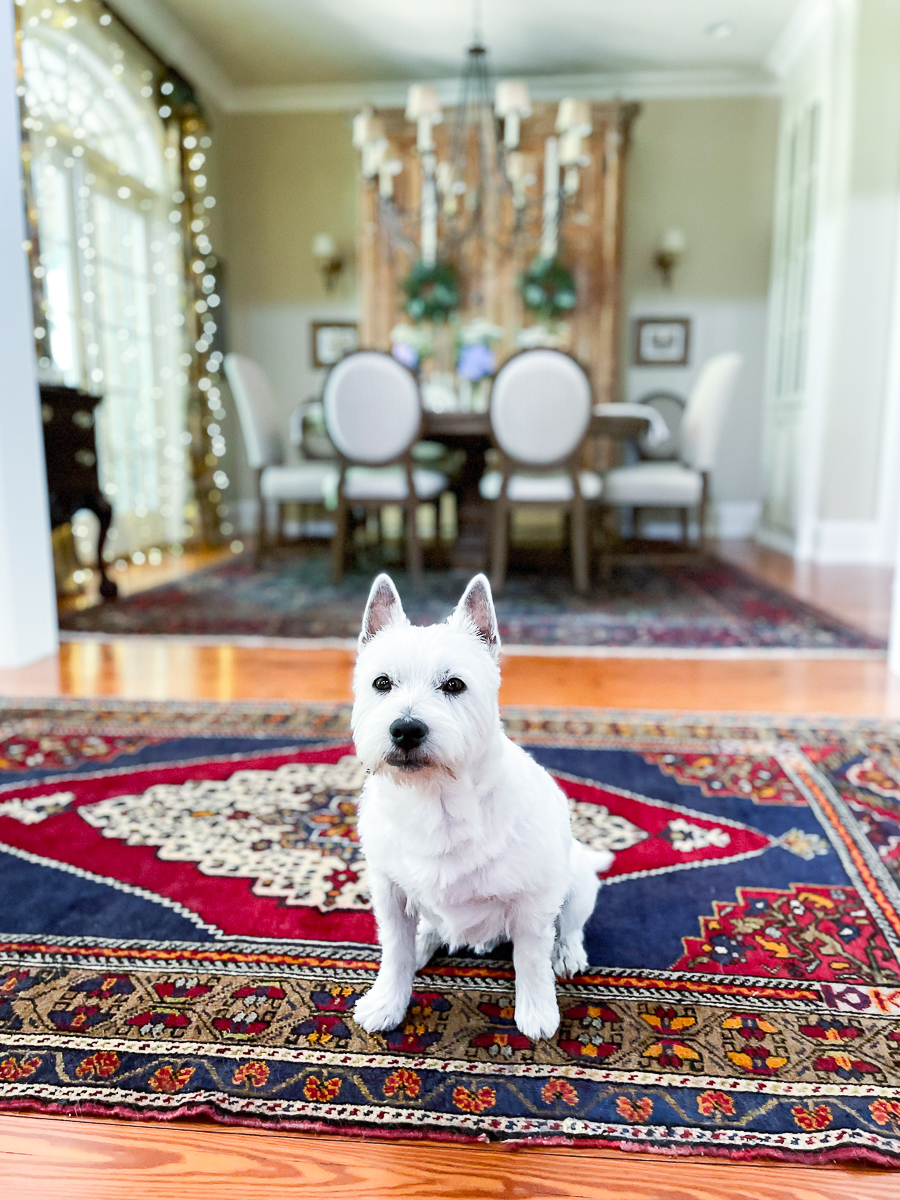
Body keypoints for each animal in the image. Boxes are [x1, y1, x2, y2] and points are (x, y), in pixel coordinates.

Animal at [352, 573, 614, 1041]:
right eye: (381, 683)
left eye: (454, 684)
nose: (406, 729)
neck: (434, 800)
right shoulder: (389, 891)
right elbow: (395, 951)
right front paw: (386, 1003)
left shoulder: (533, 902)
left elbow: (530, 958)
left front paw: (537, 1012)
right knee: (427, 929)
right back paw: (425, 940)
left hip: (579, 882)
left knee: (570, 926)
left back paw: (566, 953)